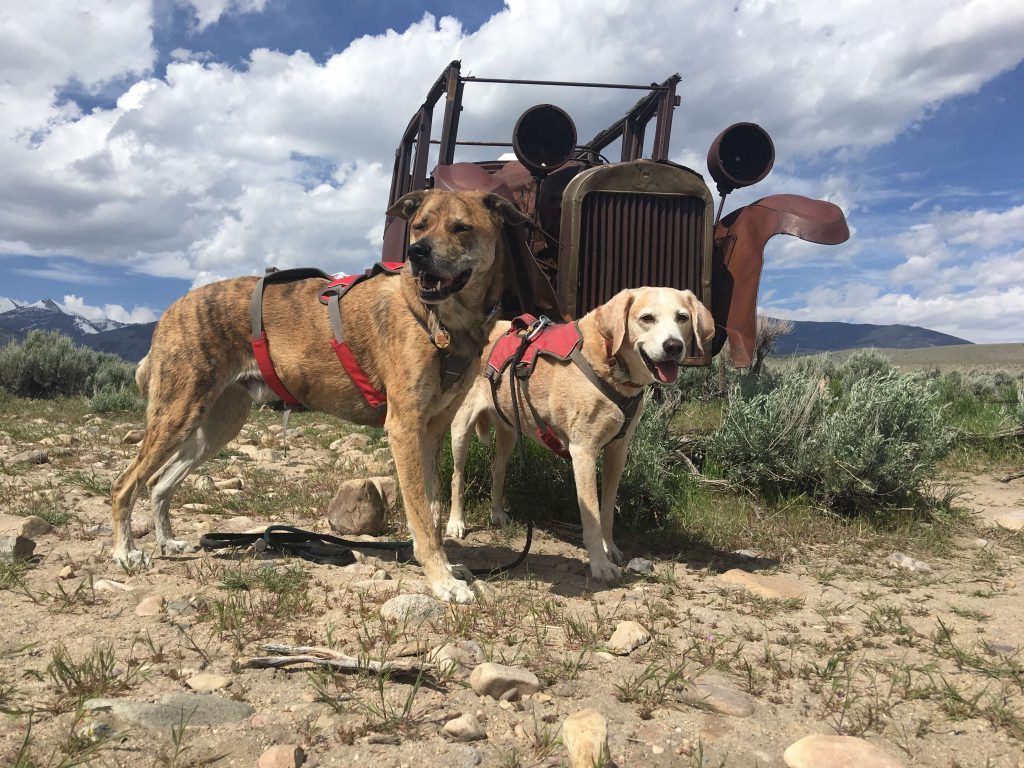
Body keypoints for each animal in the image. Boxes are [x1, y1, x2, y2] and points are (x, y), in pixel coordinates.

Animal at [111, 189, 528, 603]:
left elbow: (433, 509)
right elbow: (421, 515)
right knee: (124, 484)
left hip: (217, 425)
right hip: (177, 412)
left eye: (462, 228)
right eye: (420, 225)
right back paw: (126, 553)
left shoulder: (432, 431)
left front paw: (445, 566)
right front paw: (441, 580)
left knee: (158, 483)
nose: (417, 252)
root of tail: (171, 310)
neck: (438, 319)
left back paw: (167, 542)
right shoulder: (404, 427)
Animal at [446, 287, 715, 582]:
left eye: (682, 317)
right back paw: (456, 522)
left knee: (498, 469)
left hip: (509, 429)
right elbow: (592, 514)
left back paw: (497, 513)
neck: (610, 363)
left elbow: (607, 509)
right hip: (461, 428)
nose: (674, 347)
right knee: (457, 476)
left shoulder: (617, 451)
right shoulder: (583, 452)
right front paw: (599, 564)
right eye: (647, 318)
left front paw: (610, 549)